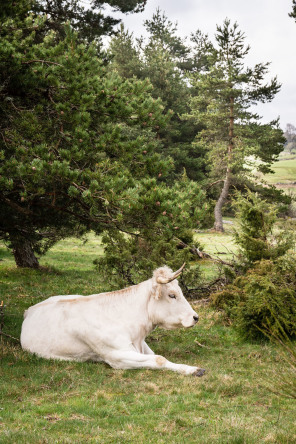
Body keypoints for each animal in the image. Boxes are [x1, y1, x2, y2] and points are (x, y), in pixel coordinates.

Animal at [20, 266, 205, 376]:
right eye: (172, 295)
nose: (195, 317)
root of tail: (30, 309)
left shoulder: (141, 346)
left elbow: (157, 356)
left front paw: (192, 368)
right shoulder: (116, 355)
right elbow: (159, 359)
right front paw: (192, 370)